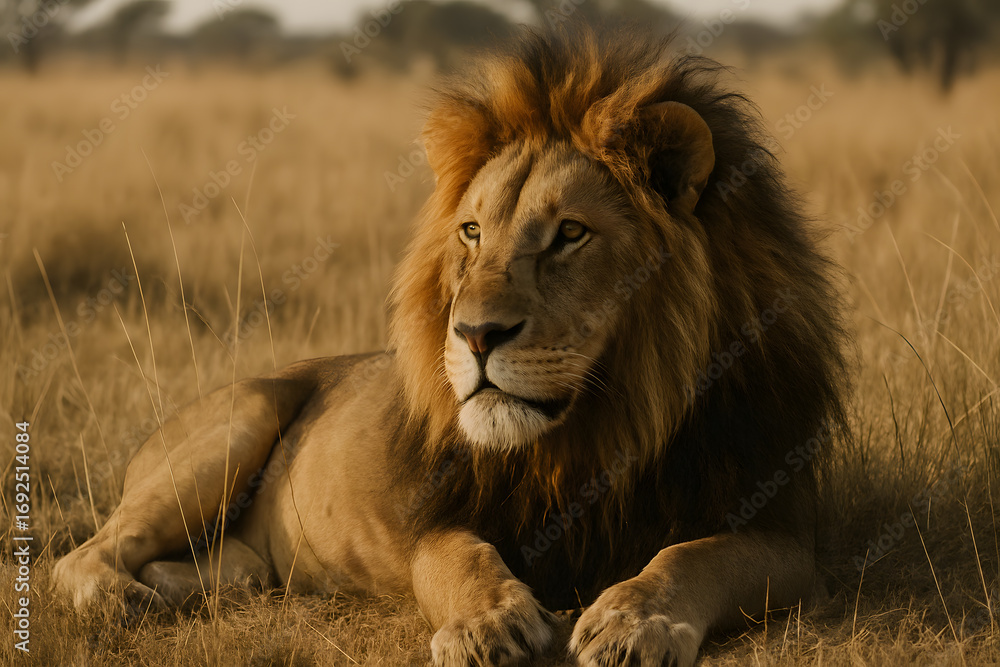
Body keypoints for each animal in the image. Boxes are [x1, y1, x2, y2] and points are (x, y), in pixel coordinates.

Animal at [52, 26, 849, 666]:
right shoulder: (439, 517)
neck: (600, 430)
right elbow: (459, 559)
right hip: (237, 420)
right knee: (78, 555)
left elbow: (691, 556)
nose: (473, 334)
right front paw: (487, 625)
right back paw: (122, 598)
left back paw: (169, 587)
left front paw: (632, 622)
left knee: (226, 569)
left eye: (570, 233)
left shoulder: (781, 530)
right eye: (471, 232)